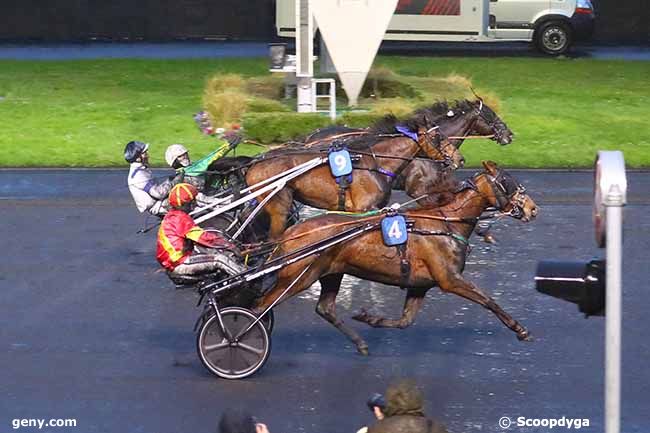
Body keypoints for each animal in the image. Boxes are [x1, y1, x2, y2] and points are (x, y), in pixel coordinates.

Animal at [243, 160, 536, 352]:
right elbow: (488, 300)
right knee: (257, 308)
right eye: (507, 182)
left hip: (330, 272)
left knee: (324, 308)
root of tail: (291, 232)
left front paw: (369, 318)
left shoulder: (419, 285)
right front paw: (520, 329)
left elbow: (405, 321)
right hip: (299, 276)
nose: (533, 209)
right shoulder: (450, 279)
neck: (446, 223)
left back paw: (360, 343)